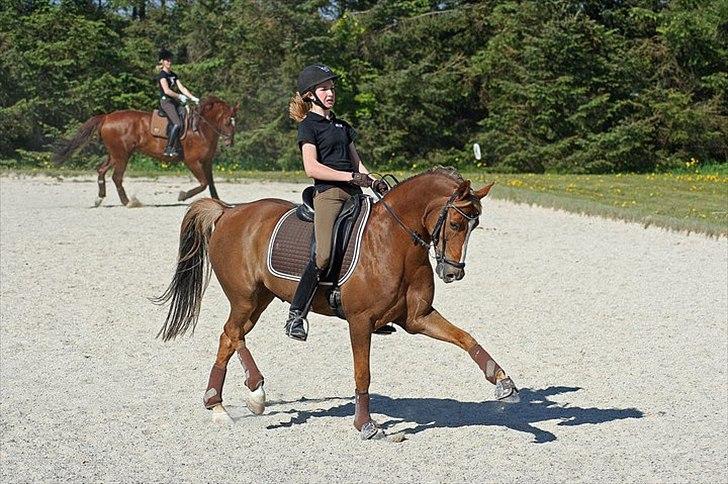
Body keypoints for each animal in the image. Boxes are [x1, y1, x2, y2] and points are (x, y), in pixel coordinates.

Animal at [52, 96, 237, 206]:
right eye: (228, 121)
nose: (229, 143)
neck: (201, 129)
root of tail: (107, 117)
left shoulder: (207, 162)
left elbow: (211, 183)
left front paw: (220, 203)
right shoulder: (192, 162)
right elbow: (204, 183)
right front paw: (183, 195)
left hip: (115, 154)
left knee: (102, 170)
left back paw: (99, 198)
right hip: (122, 155)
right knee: (116, 177)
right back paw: (128, 202)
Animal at [155, 168, 516, 440]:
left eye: (475, 225)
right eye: (455, 224)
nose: (453, 272)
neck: (394, 242)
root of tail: (230, 211)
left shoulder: (418, 318)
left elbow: (465, 338)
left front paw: (503, 382)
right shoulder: (360, 321)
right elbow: (363, 373)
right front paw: (366, 425)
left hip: (260, 298)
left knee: (231, 337)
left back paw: (234, 400)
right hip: (245, 297)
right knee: (232, 334)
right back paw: (239, 398)